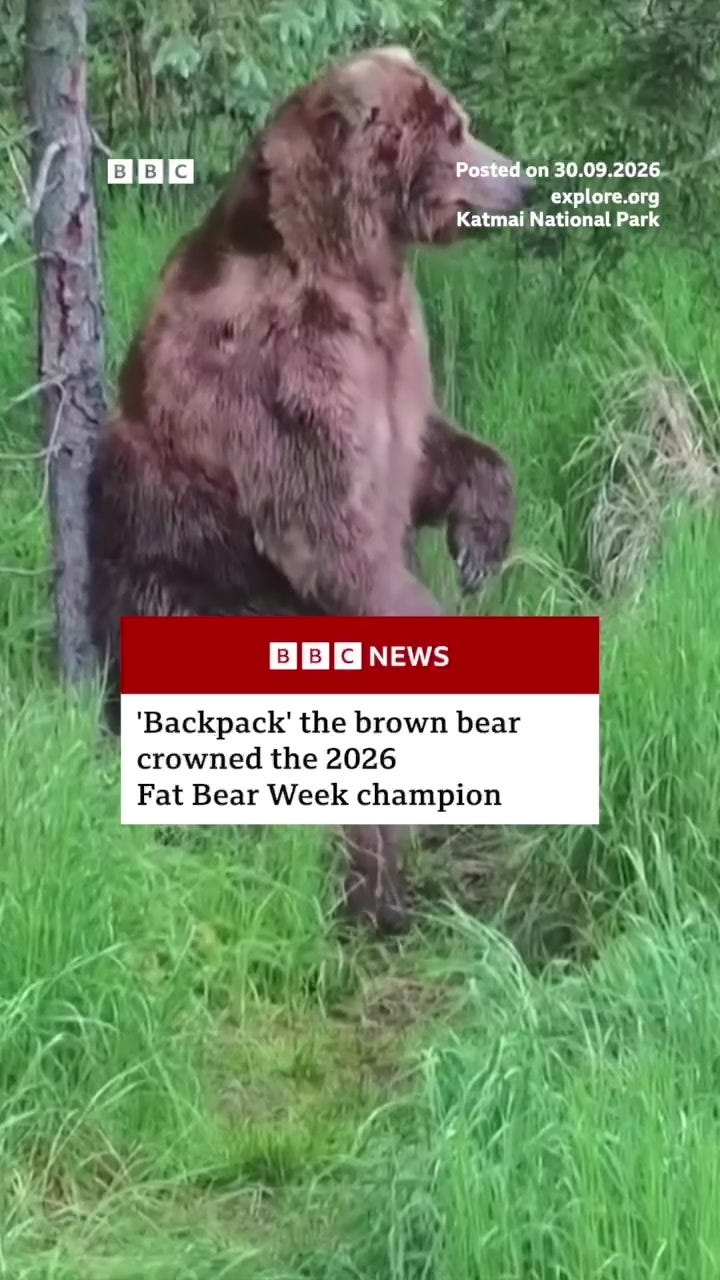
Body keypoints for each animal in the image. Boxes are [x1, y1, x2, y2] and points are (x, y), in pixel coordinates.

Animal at [87, 46, 532, 934]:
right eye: (458, 130)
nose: (524, 183)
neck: (355, 263)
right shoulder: (284, 366)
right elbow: (325, 527)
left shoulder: (392, 357)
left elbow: (426, 456)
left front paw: (479, 540)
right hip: (194, 605)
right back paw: (371, 898)